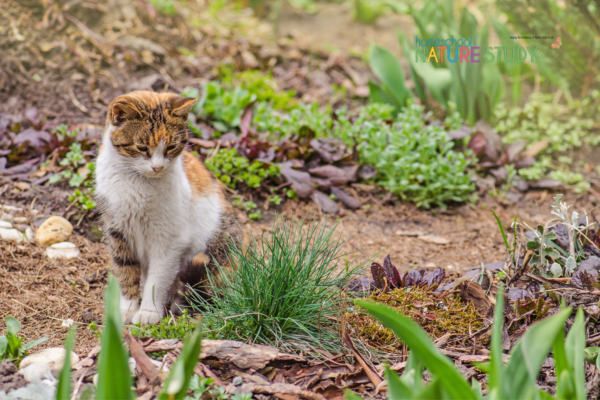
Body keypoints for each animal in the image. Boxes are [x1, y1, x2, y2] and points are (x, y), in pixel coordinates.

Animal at [95, 90, 243, 324]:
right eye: (142, 147)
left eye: (171, 147)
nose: (157, 167)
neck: (135, 182)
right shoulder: (117, 231)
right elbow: (126, 271)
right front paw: (126, 309)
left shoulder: (169, 240)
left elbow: (158, 278)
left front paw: (148, 312)